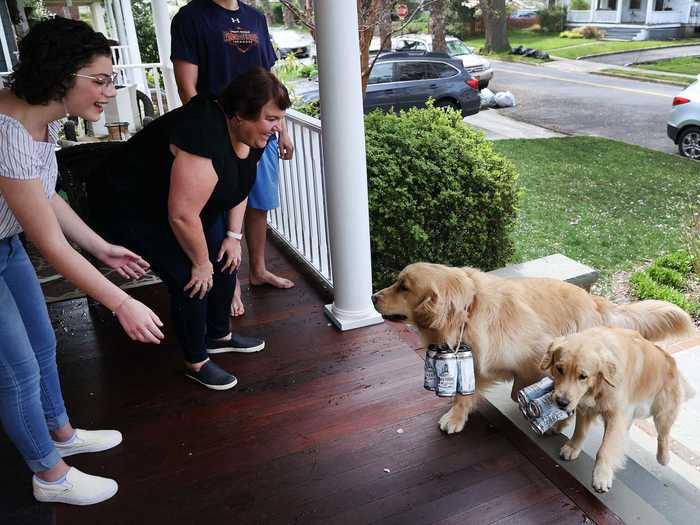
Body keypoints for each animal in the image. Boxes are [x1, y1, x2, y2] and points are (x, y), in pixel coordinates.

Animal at [374, 262, 692, 434]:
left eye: (404, 287)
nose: (373, 296)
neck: (466, 312)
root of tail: (594, 301)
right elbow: (467, 393)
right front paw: (457, 414)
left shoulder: (538, 352)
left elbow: (520, 389)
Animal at [540, 328, 696, 492]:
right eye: (559, 369)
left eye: (583, 376)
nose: (562, 402)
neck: (600, 384)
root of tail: (672, 362)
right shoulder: (585, 406)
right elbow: (580, 431)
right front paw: (572, 447)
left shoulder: (616, 415)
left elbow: (605, 448)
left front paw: (602, 476)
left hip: (663, 412)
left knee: (663, 435)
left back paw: (663, 457)